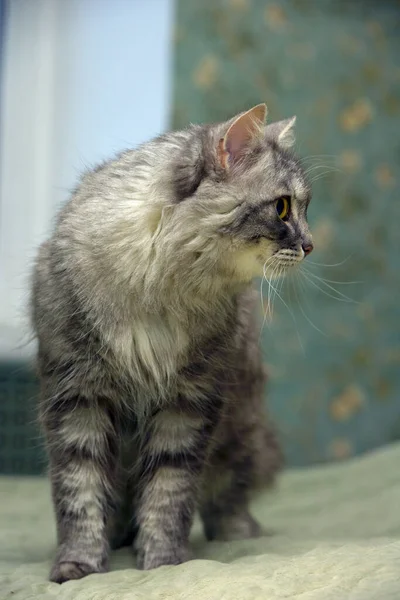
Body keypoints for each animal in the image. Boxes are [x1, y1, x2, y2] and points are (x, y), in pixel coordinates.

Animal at [31, 105, 312, 584]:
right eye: (282, 208)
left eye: (303, 207)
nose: (311, 244)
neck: (159, 294)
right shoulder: (77, 397)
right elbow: (80, 494)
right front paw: (79, 566)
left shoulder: (189, 403)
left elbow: (168, 494)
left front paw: (162, 562)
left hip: (242, 430)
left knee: (228, 495)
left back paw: (237, 533)